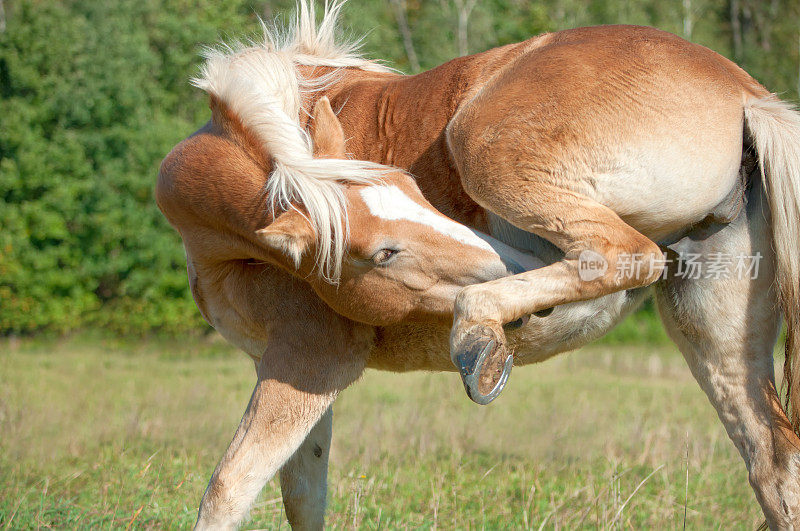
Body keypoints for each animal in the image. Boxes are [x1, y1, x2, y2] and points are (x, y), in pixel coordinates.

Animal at [156, 2, 800, 528]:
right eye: (383, 251)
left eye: (414, 187)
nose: (510, 265)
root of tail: (744, 91)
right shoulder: (288, 372)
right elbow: (302, 496)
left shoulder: (307, 361)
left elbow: (229, 491)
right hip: (718, 341)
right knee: (775, 464)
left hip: (488, 150)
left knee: (625, 255)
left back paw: (479, 334)